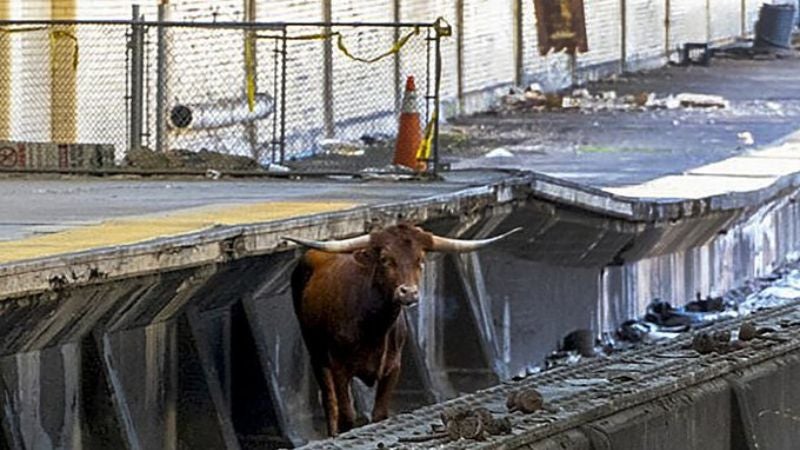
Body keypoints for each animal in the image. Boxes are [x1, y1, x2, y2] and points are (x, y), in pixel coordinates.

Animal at [282, 225, 520, 436]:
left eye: (420, 260)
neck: (372, 328)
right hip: (316, 353)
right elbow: (347, 416)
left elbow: (379, 414)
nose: (409, 292)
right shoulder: (340, 367)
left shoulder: (393, 368)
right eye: (386, 259)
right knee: (330, 401)